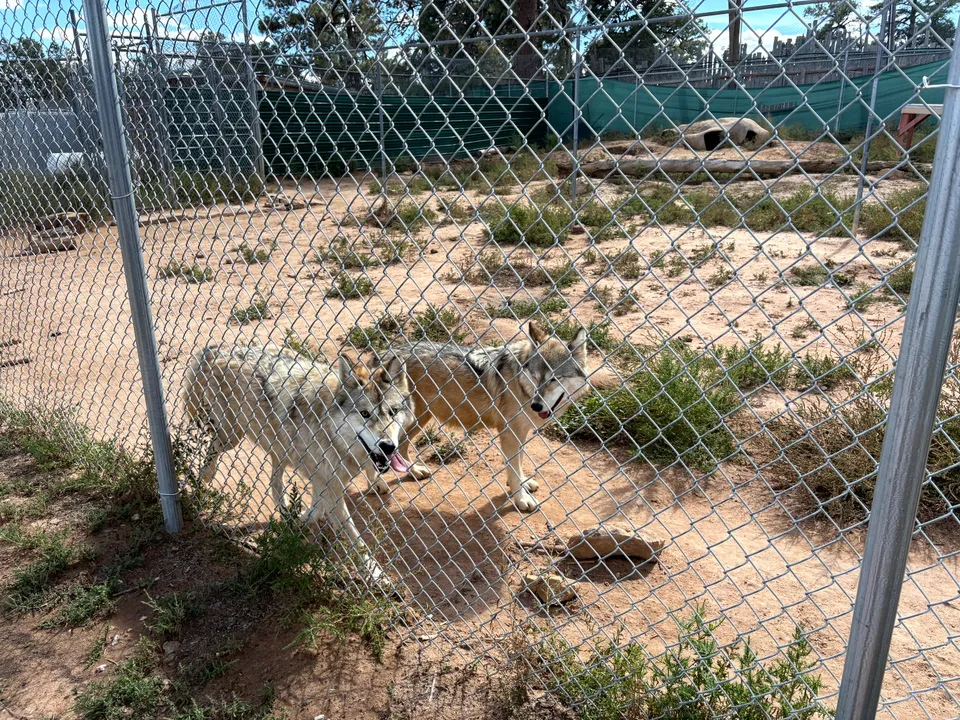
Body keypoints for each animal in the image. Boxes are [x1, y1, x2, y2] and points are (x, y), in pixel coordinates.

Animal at [183, 342, 414, 584]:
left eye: (393, 412)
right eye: (365, 413)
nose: (388, 446)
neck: (328, 426)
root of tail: (215, 347)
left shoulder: (325, 478)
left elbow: (317, 508)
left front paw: (300, 521)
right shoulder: (329, 483)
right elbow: (355, 538)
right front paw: (378, 575)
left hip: (278, 448)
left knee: (274, 483)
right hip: (232, 437)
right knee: (211, 453)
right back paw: (201, 486)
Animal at [375, 321, 596, 512]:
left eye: (555, 378)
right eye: (534, 377)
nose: (536, 405)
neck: (519, 382)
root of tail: (381, 354)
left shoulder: (521, 432)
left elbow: (519, 464)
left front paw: (523, 483)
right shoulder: (509, 433)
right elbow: (513, 468)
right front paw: (521, 498)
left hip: (416, 420)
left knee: (402, 446)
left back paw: (413, 471)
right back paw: (377, 485)